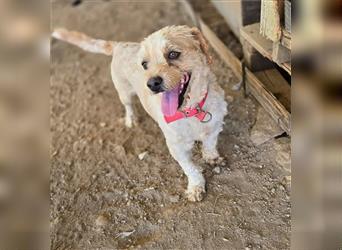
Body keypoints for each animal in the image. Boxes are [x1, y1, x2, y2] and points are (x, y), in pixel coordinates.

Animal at [52, 25, 227, 201]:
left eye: (173, 54)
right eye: (144, 64)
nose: (152, 83)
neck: (191, 111)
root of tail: (120, 44)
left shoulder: (215, 127)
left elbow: (210, 145)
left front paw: (211, 157)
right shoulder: (177, 148)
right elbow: (190, 168)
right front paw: (196, 187)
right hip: (124, 92)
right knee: (128, 106)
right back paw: (131, 120)